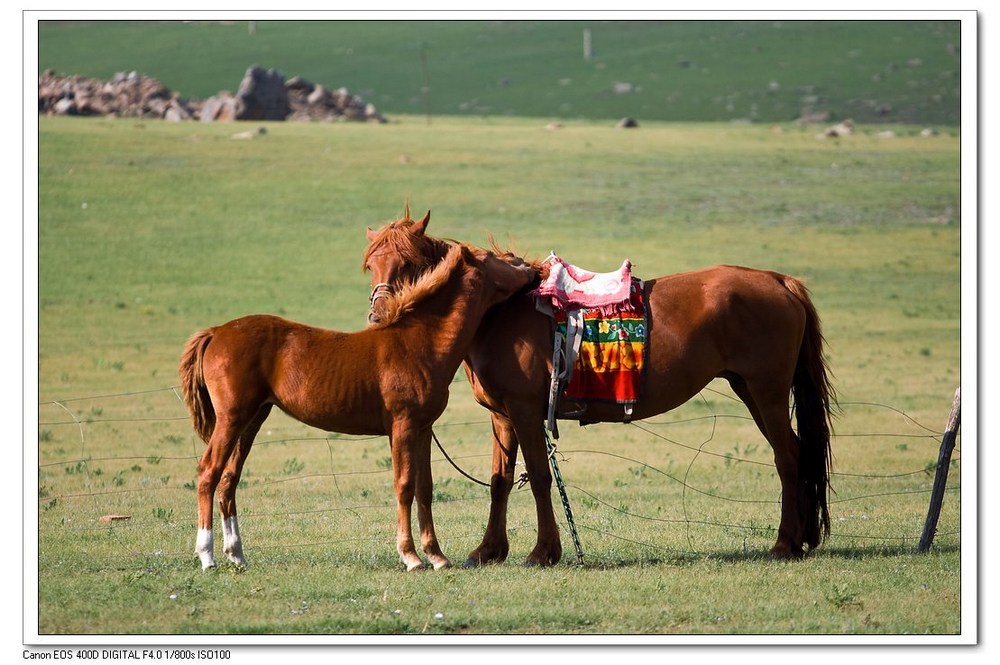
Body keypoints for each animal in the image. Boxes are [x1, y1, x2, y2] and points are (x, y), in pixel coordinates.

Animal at [180, 241, 540, 568]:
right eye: (494, 258)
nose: (531, 270)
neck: (419, 343)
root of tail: (216, 332)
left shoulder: (423, 428)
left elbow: (424, 488)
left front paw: (437, 556)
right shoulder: (402, 426)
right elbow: (404, 486)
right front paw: (411, 557)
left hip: (253, 419)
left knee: (229, 479)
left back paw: (237, 555)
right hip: (232, 417)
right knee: (208, 472)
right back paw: (207, 556)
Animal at [368, 213, 836, 564]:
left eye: (409, 263)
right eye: (370, 264)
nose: (378, 316)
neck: (497, 312)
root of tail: (777, 280)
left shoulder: (524, 411)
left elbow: (539, 477)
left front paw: (543, 552)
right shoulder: (502, 414)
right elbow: (501, 480)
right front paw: (488, 551)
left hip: (767, 391)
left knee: (788, 458)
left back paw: (784, 544)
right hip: (750, 390)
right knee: (796, 453)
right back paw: (800, 539)